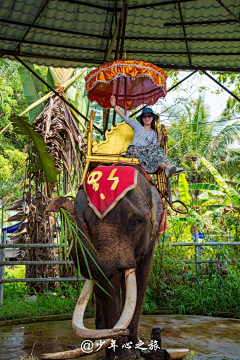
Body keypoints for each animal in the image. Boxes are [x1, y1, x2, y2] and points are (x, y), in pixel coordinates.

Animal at [41, 166, 165, 360]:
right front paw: (122, 355)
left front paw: (133, 350)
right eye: (86, 221)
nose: (53, 205)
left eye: (135, 221)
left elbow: (140, 281)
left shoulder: (151, 240)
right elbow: (108, 285)